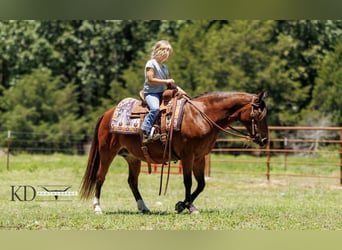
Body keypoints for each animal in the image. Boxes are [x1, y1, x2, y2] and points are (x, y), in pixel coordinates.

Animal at [79, 91, 268, 214]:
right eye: (259, 114)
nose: (265, 140)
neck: (201, 115)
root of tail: (107, 114)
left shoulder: (199, 157)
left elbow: (201, 184)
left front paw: (181, 205)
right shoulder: (188, 155)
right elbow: (188, 182)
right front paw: (189, 207)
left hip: (132, 157)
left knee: (132, 181)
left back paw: (144, 207)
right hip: (107, 153)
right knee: (100, 177)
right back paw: (97, 207)